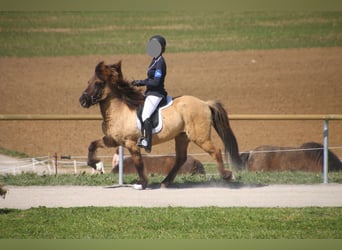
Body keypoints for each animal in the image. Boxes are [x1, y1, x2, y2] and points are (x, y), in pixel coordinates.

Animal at [79, 61, 242, 189]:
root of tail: (204, 103)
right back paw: (165, 182)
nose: (82, 101)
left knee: (216, 151)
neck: (119, 110)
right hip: (182, 137)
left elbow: (139, 163)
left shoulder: (131, 143)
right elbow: (92, 145)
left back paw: (227, 176)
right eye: (88, 82)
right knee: (181, 158)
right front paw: (97, 165)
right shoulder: (112, 140)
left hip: (199, 137)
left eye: (98, 83)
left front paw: (142, 183)